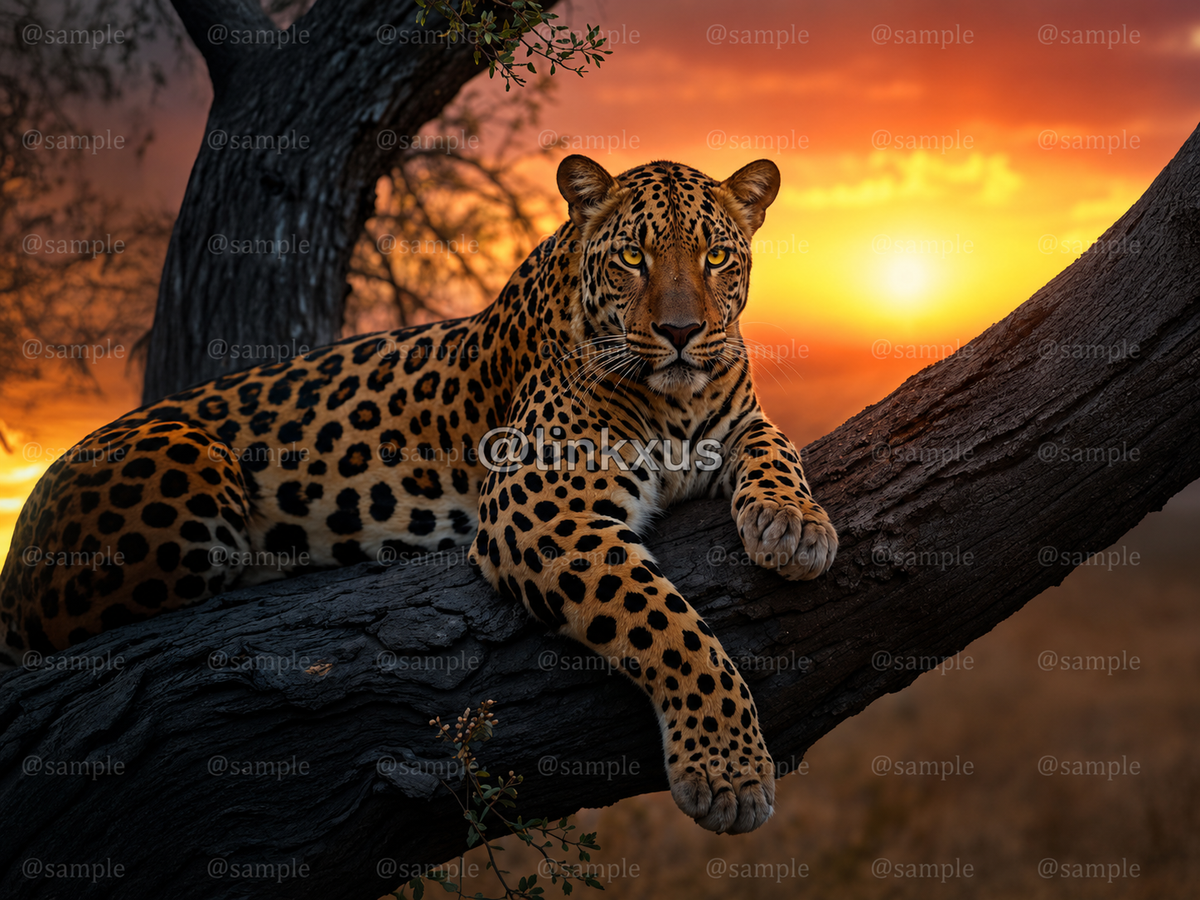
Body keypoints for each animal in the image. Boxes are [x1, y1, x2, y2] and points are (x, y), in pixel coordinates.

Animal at [0, 154, 838, 833]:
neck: (678, 403)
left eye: (717, 256)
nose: (682, 332)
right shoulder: (540, 504)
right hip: (190, 458)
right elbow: (671, 628)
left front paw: (795, 526)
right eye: (633, 256)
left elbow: (777, 449)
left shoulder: (739, 420)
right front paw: (727, 771)